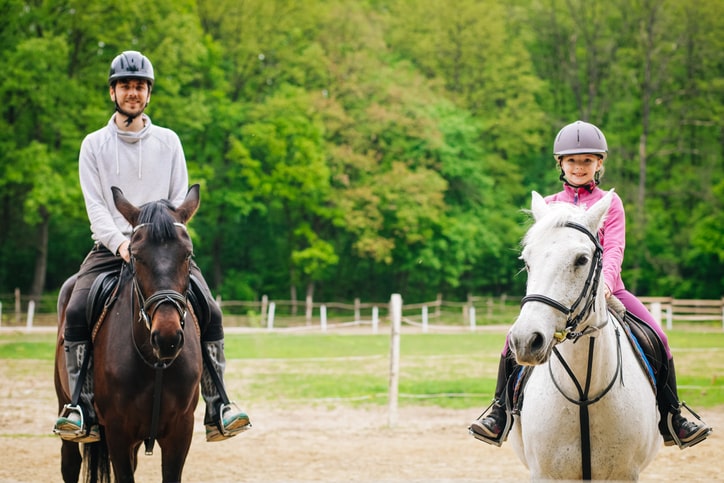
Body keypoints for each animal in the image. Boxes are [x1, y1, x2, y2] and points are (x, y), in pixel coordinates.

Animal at [54, 186, 204, 483]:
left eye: (187, 255)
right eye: (136, 255)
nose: (167, 338)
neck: (154, 362)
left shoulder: (180, 431)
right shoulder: (118, 432)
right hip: (64, 403)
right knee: (70, 463)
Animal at [510, 192, 660, 480]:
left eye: (581, 259)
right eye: (527, 261)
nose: (525, 340)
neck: (583, 392)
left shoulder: (624, 475)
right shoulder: (545, 475)